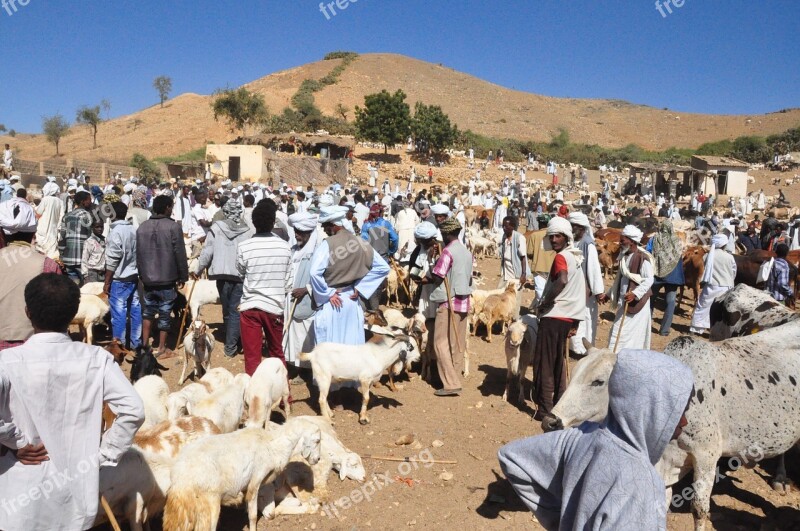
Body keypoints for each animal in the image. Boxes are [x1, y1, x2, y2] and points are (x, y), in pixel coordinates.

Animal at [162, 418, 322, 531]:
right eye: (317, 440)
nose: (318, 459)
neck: (274, 445)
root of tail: (180, 478)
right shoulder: (255, 480)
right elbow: (253, 515)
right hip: (209, 505)